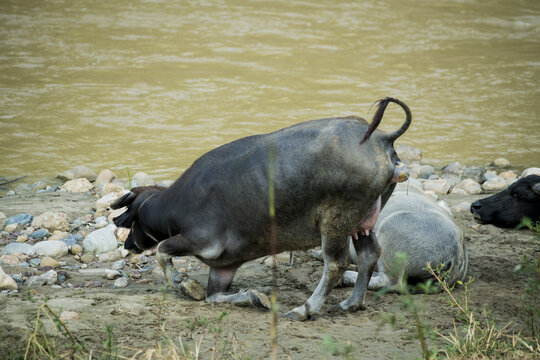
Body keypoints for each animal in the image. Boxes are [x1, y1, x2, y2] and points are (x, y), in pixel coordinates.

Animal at [112, 97, 412, 320]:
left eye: (133, 218)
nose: (127, 245)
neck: (177, 205)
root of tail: (380, 139)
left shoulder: (203, 242)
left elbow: (163, 250)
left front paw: (181, 282)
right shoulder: (223, 266)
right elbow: (214, 296)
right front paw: (254, 297)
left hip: (336, 222)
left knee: (336, 263)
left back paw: (304, 310)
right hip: (361, 223)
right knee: (369, 254)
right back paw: (351, 303)